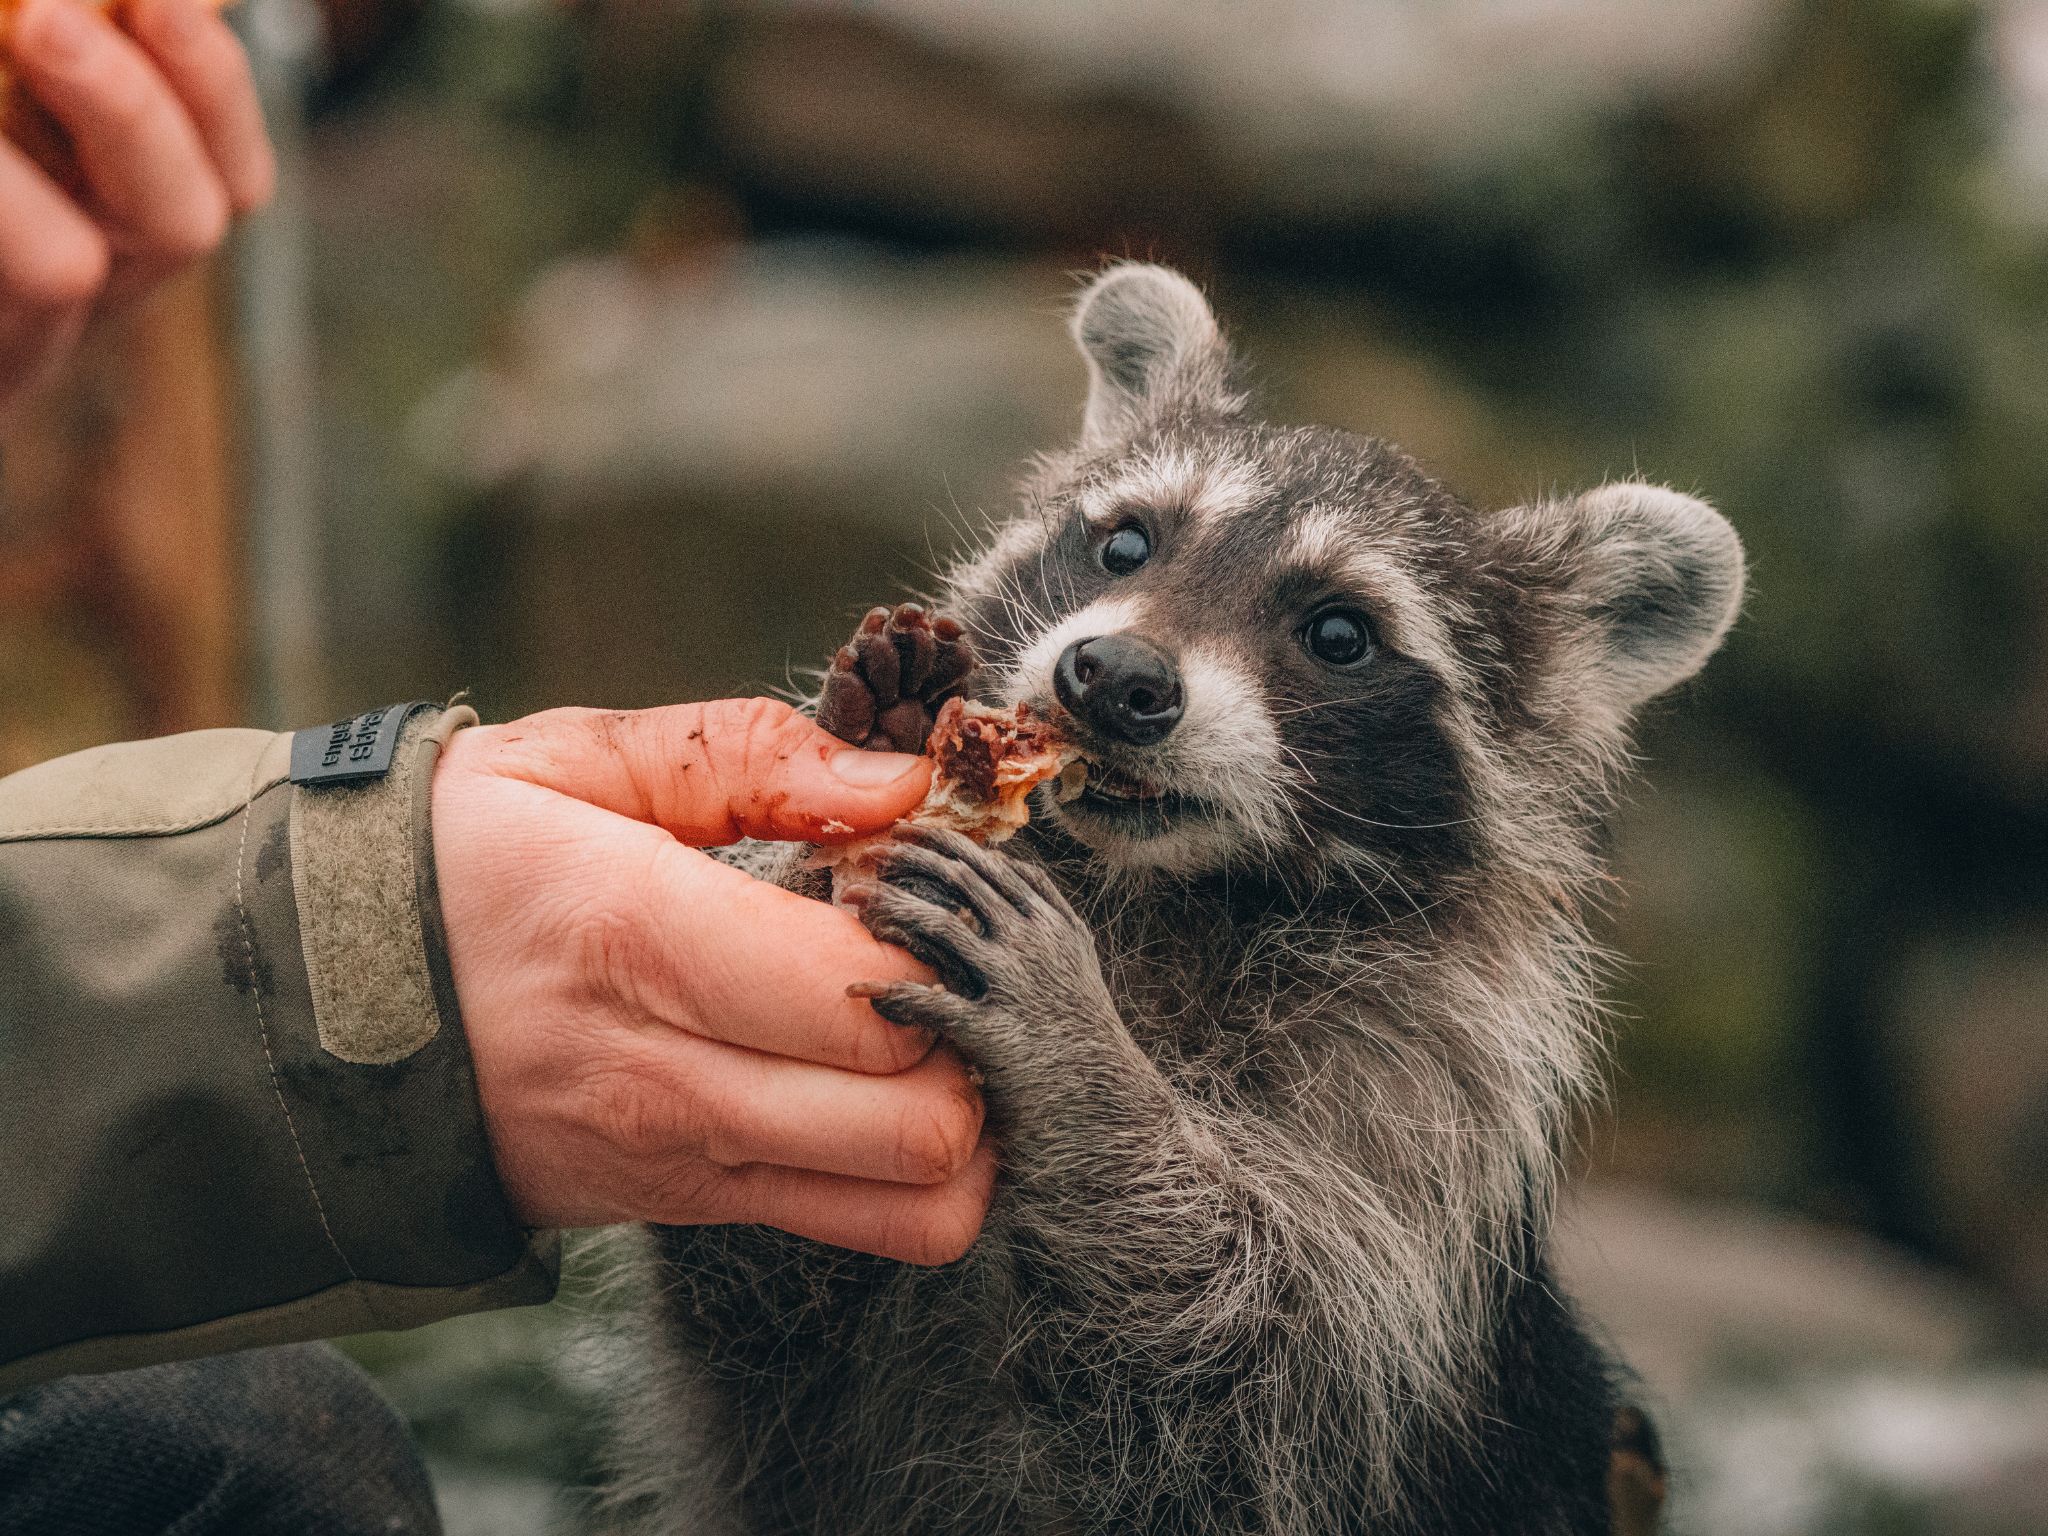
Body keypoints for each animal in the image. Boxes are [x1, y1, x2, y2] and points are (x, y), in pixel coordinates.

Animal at [606, 264, 1744, 1535]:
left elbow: (1258, 1358)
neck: (1153, 895)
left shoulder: (1417, 1125)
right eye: (1123, 543)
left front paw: (1083, 1066)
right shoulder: (786, 1409)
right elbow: (753, 1282)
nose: (1113, 679)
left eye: (1338, 632)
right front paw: (842, 807)